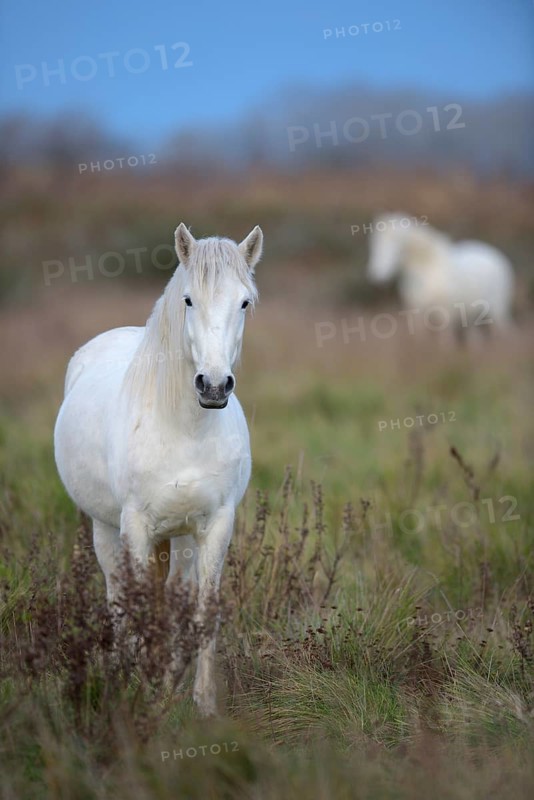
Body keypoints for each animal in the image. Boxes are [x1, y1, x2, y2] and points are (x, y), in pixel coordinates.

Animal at [54, 223, 263, 717]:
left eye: (244, 302)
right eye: (188, 299)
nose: (213, 386)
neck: (185, 428)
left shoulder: (216, 525)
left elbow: (202, 610)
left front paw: (201, 702)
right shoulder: (135, 526)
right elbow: (136, 605)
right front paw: (139, 690)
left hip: (182, 536)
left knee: (172, 593)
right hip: (106, 528)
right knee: (117, 595)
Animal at [366, 214, 515, 341]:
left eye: (396, 244)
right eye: (374, 244)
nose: (376, 274)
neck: (428, 272)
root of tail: (494, 254)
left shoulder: (444, 315)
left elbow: (445, 342)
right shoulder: (417, 314)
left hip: (497, 308)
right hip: (472, 316)